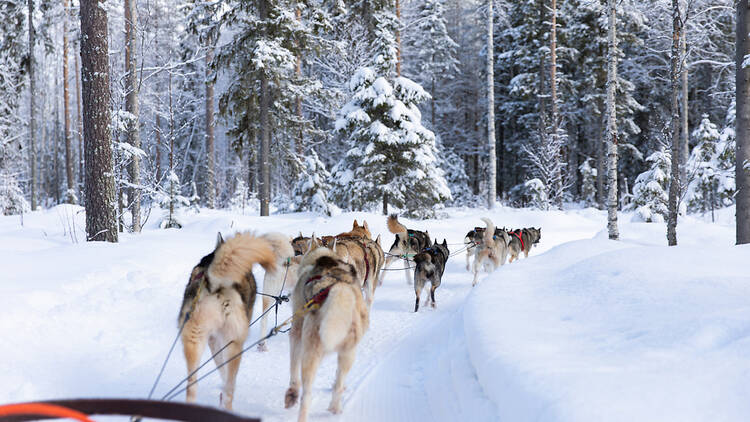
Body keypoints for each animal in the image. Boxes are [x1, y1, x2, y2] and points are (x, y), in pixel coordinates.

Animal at [178, 231, 278, 408]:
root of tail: (213, 285)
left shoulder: (213, 341)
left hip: (194, 341)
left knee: (192, 387)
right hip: (233, 344)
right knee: (229, 391)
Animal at [284, 246, 370, 420]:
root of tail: (338, 287)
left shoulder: (296, 332)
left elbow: (293, 370)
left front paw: (292, 393)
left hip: (311, 352)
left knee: (307, 395)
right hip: (348, 353)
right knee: (337, 385)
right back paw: (335, 408)